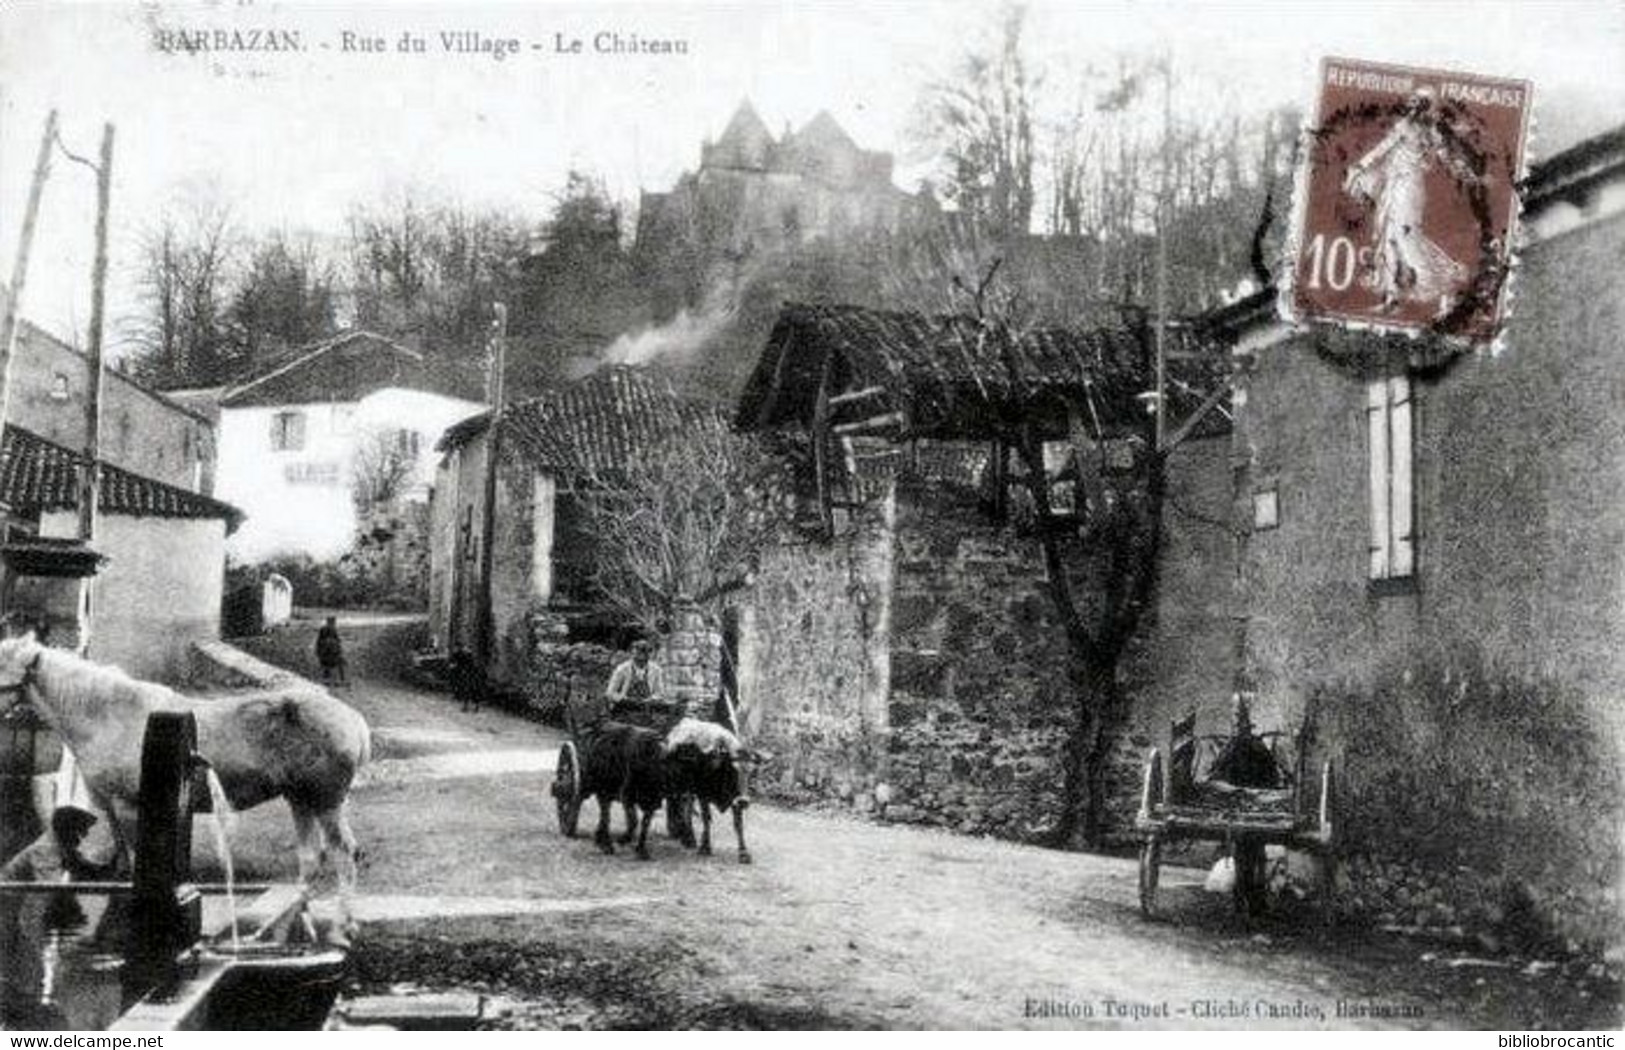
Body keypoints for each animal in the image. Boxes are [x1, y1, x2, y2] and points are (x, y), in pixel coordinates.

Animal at [0, 633, 370, 923]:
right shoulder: (110, 807)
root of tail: (353, 720)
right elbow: (123, 864)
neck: (108, 716)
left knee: (343, 853)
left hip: (324, 801)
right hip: (300, 799)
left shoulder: (130, 807)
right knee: (311, 857)